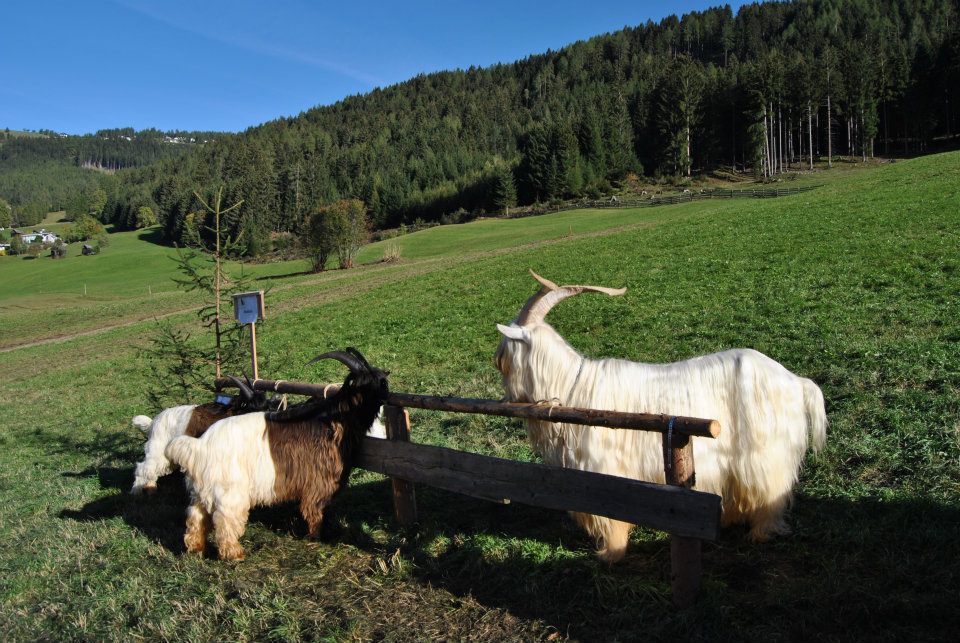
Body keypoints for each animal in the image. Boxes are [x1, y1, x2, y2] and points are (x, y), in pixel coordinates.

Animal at [496, 272, 824, 564]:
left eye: (504, 356)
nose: (506, 394)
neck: (571, 386)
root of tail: (796, 381)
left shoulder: (603, 470)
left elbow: (610, 519)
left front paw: (611, 554)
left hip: (765, 452)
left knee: (772, 492)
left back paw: (761, 533)